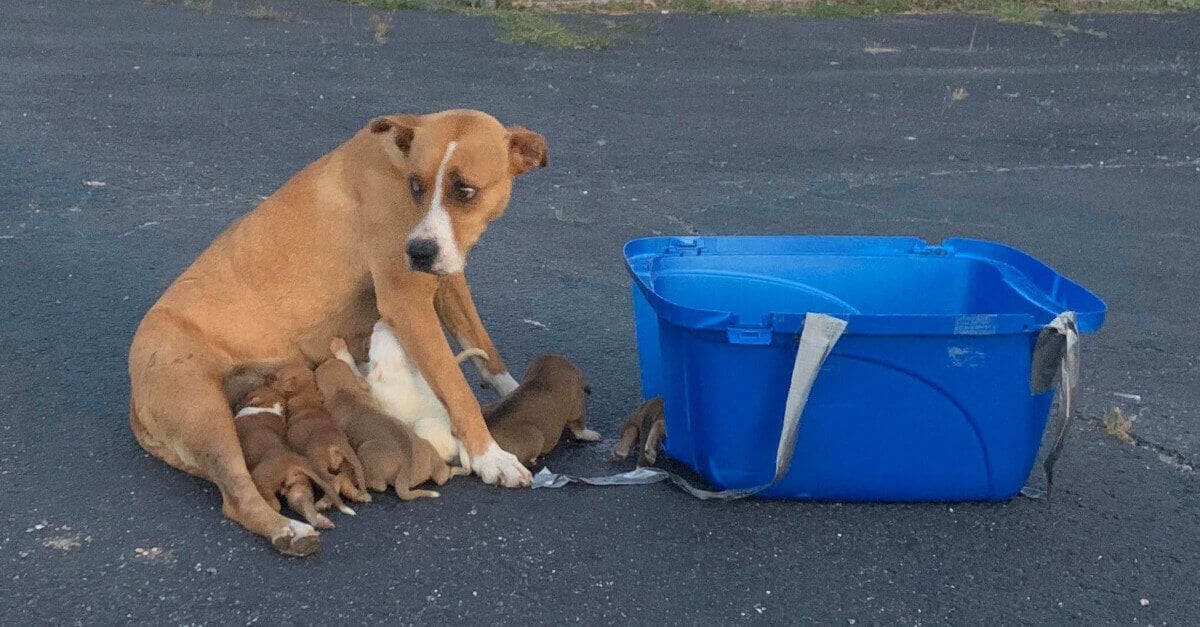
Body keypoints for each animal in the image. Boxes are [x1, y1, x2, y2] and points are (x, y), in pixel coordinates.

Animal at [230, 381, 350, 528]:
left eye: (248, 393)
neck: (270, 407)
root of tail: (294, 463)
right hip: (299, 487)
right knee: (307, 509)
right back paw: (322, 521)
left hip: (261, 480)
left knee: (275, 505)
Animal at [274, 360, 372, 502]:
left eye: (275, 378)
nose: (267, 379)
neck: (306, 398)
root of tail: (335, 445)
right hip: (349, 462)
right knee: (350, 477)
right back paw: (360, 495)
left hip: (318, 464)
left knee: (334, 480)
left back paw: (323, 502)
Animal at [314, 345, 463, 497]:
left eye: (320, 370)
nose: (324, 361)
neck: (343, 390)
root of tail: (405, 470)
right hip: (428, 451)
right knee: (442, 476)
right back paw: (453, 471)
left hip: (368, 449)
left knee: (380, 486)